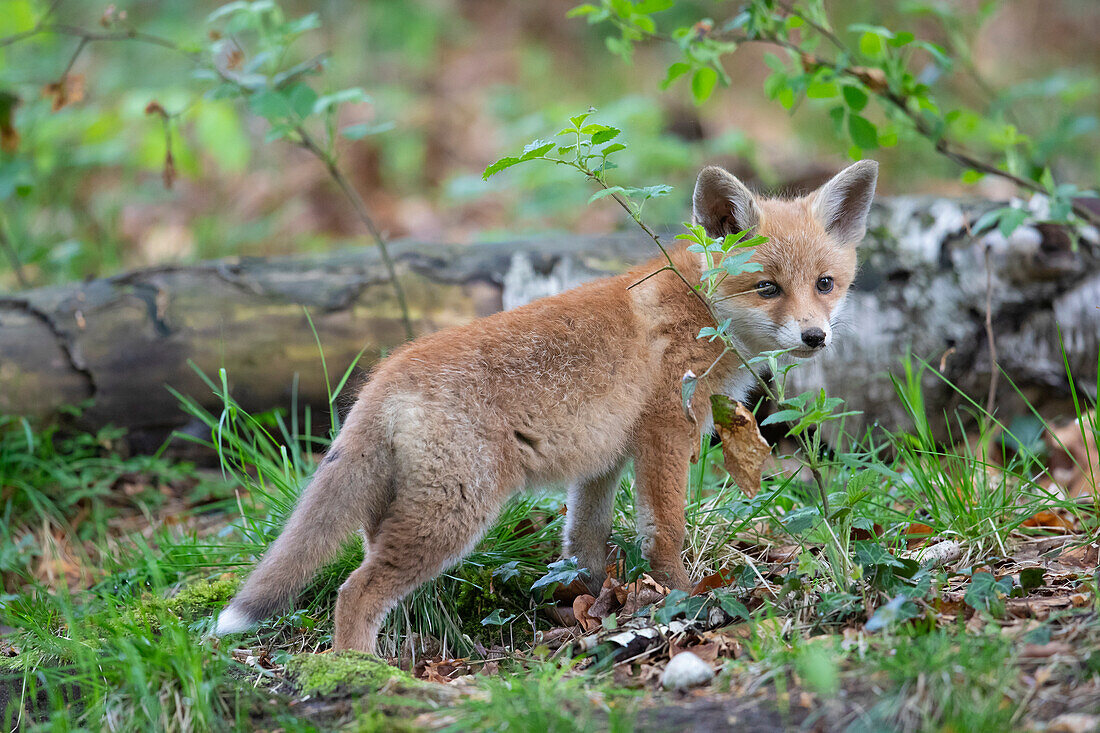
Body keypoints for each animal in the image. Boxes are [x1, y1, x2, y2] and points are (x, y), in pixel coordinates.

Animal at [216, 161, 875, 651]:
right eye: (767, 288)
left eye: (825, 284)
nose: (815, 337)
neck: (699, 307)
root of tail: (386, 374)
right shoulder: (665, 433)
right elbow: (664, 535)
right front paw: (685, 598)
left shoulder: (604, 458)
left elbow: (584, 545)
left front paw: (591, 610)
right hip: (454, 513)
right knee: (354, 591)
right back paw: (363, 673)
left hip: (407, 508)